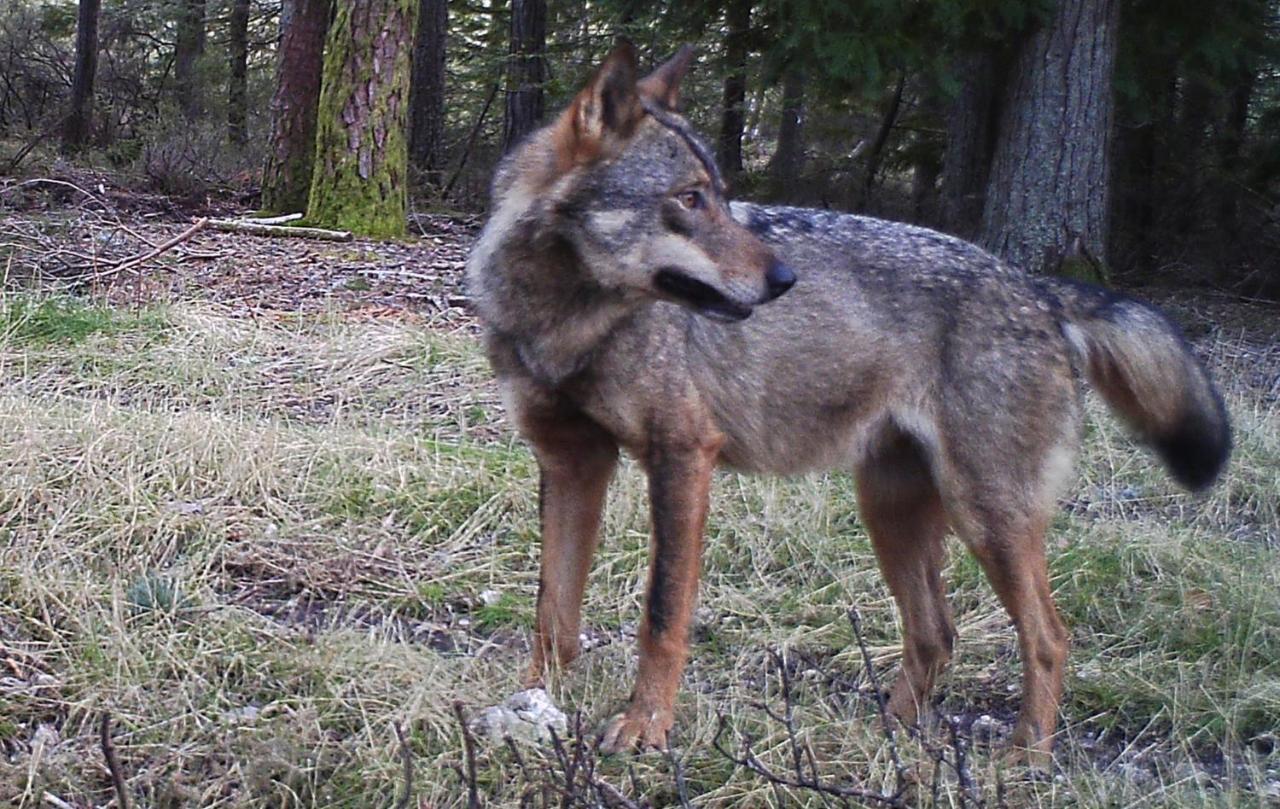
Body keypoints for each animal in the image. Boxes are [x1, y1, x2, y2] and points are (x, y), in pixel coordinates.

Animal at [463, 44, 1228, 762]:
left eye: (721, 196)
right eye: (689, 199)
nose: (783, 279)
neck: (566, 323)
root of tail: (1042, 291)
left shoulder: (681, 457)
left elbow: (661, 615)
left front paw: (646, 728)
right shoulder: (571, 464)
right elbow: (553, 612)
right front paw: (533, 703)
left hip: (986, 517)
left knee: (1048, 636)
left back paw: (1025, 759)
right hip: (890, 510)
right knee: (937, 634)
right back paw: (894, 735)